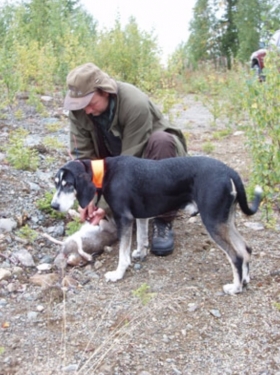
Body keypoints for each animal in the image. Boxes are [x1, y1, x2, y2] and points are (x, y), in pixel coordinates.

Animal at [50, 154, 262, 296]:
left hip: (213, 221)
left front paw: (118, 273)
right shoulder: (140, 216)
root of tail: (229, 171)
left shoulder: (124, 218)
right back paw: (245, 279)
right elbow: (141, 238)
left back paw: (235, 287)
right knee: (246, 249)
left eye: (68, 184)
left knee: (236, 256)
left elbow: (123, 254)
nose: (54, 205)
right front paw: (140, 252)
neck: (104, 172)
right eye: (56, 183)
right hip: (225, 220)